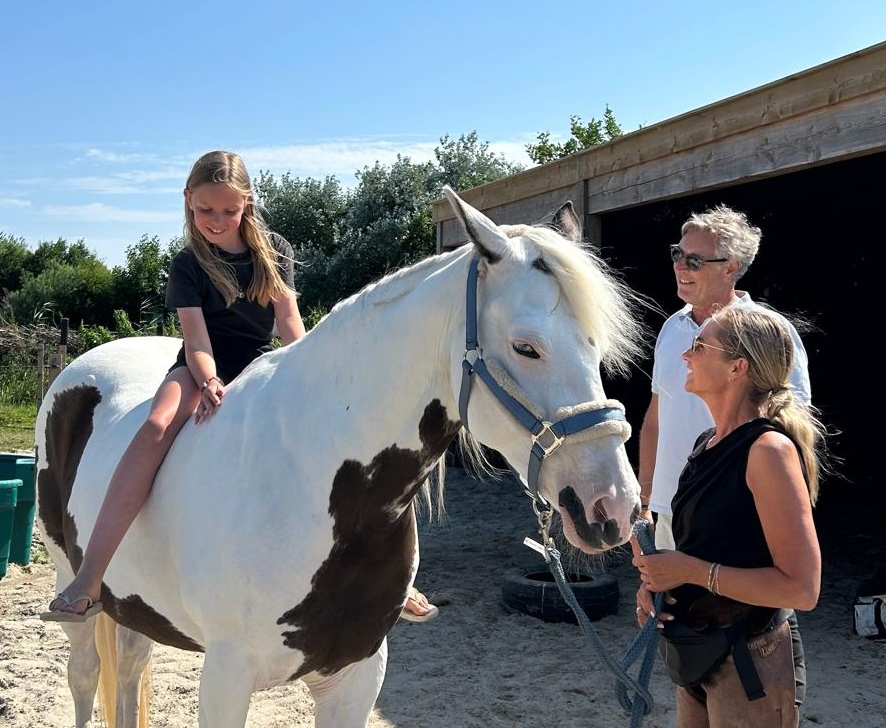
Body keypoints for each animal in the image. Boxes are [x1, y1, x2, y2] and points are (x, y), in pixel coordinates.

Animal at [36, 185, 644, 724]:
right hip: (77, 592)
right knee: (85, 677)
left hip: (135, 606)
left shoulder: (356, 674)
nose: (612, 505)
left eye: (594, 346)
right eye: (525, 347)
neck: (313, 481)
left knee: (129, 669)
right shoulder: (226, 677)